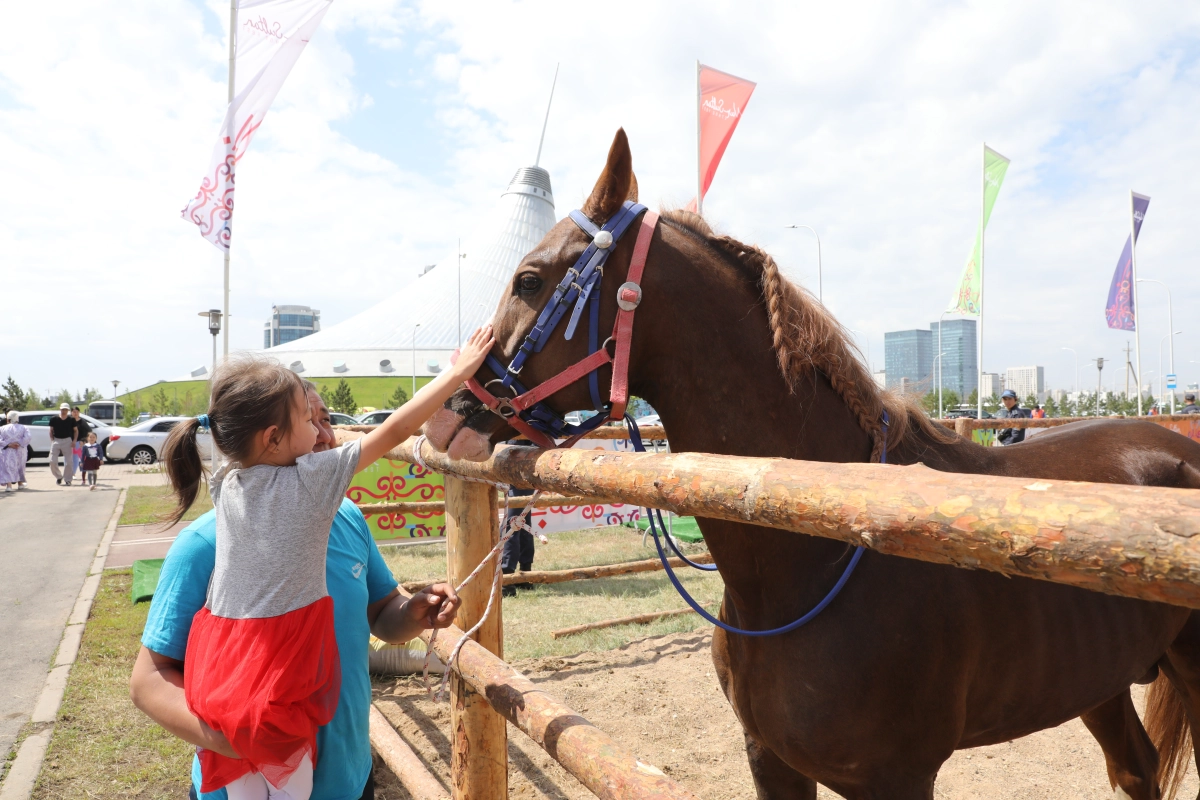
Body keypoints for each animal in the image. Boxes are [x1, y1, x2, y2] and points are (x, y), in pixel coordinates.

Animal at [424, 128, 1200, 796]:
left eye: (528, 279)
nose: (444, 417)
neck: (815, 554)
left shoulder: (895, 779)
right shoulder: (771, 760)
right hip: (1099, 682)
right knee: (1136, 771)